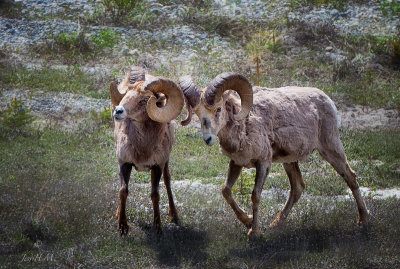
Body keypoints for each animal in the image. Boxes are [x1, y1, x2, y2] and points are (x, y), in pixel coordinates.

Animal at [110, 67, 184, 234]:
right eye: (126, 94)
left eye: (144, 100)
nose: (118, 111)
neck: (143, 148)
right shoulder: (124, 163)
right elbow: (123, 191)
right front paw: (122, 226)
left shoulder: (157, 166)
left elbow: (155, 195)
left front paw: (158, 228)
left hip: (166, 162)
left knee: (167, 180)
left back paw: (174, 215)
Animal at [180, 72, 368, 236]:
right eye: (198, 114)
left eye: (218, 109)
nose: (208, 139)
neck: (244, 128)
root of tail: (327, 100)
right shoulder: (236, 163)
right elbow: (226, 190)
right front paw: (248, 220)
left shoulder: (263, 163)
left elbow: (255, 195)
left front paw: (254, 232)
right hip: (289, 161)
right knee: (298, 187)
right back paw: (276, 224)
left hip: (331, 149)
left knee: (350, 177)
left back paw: (363, 220)